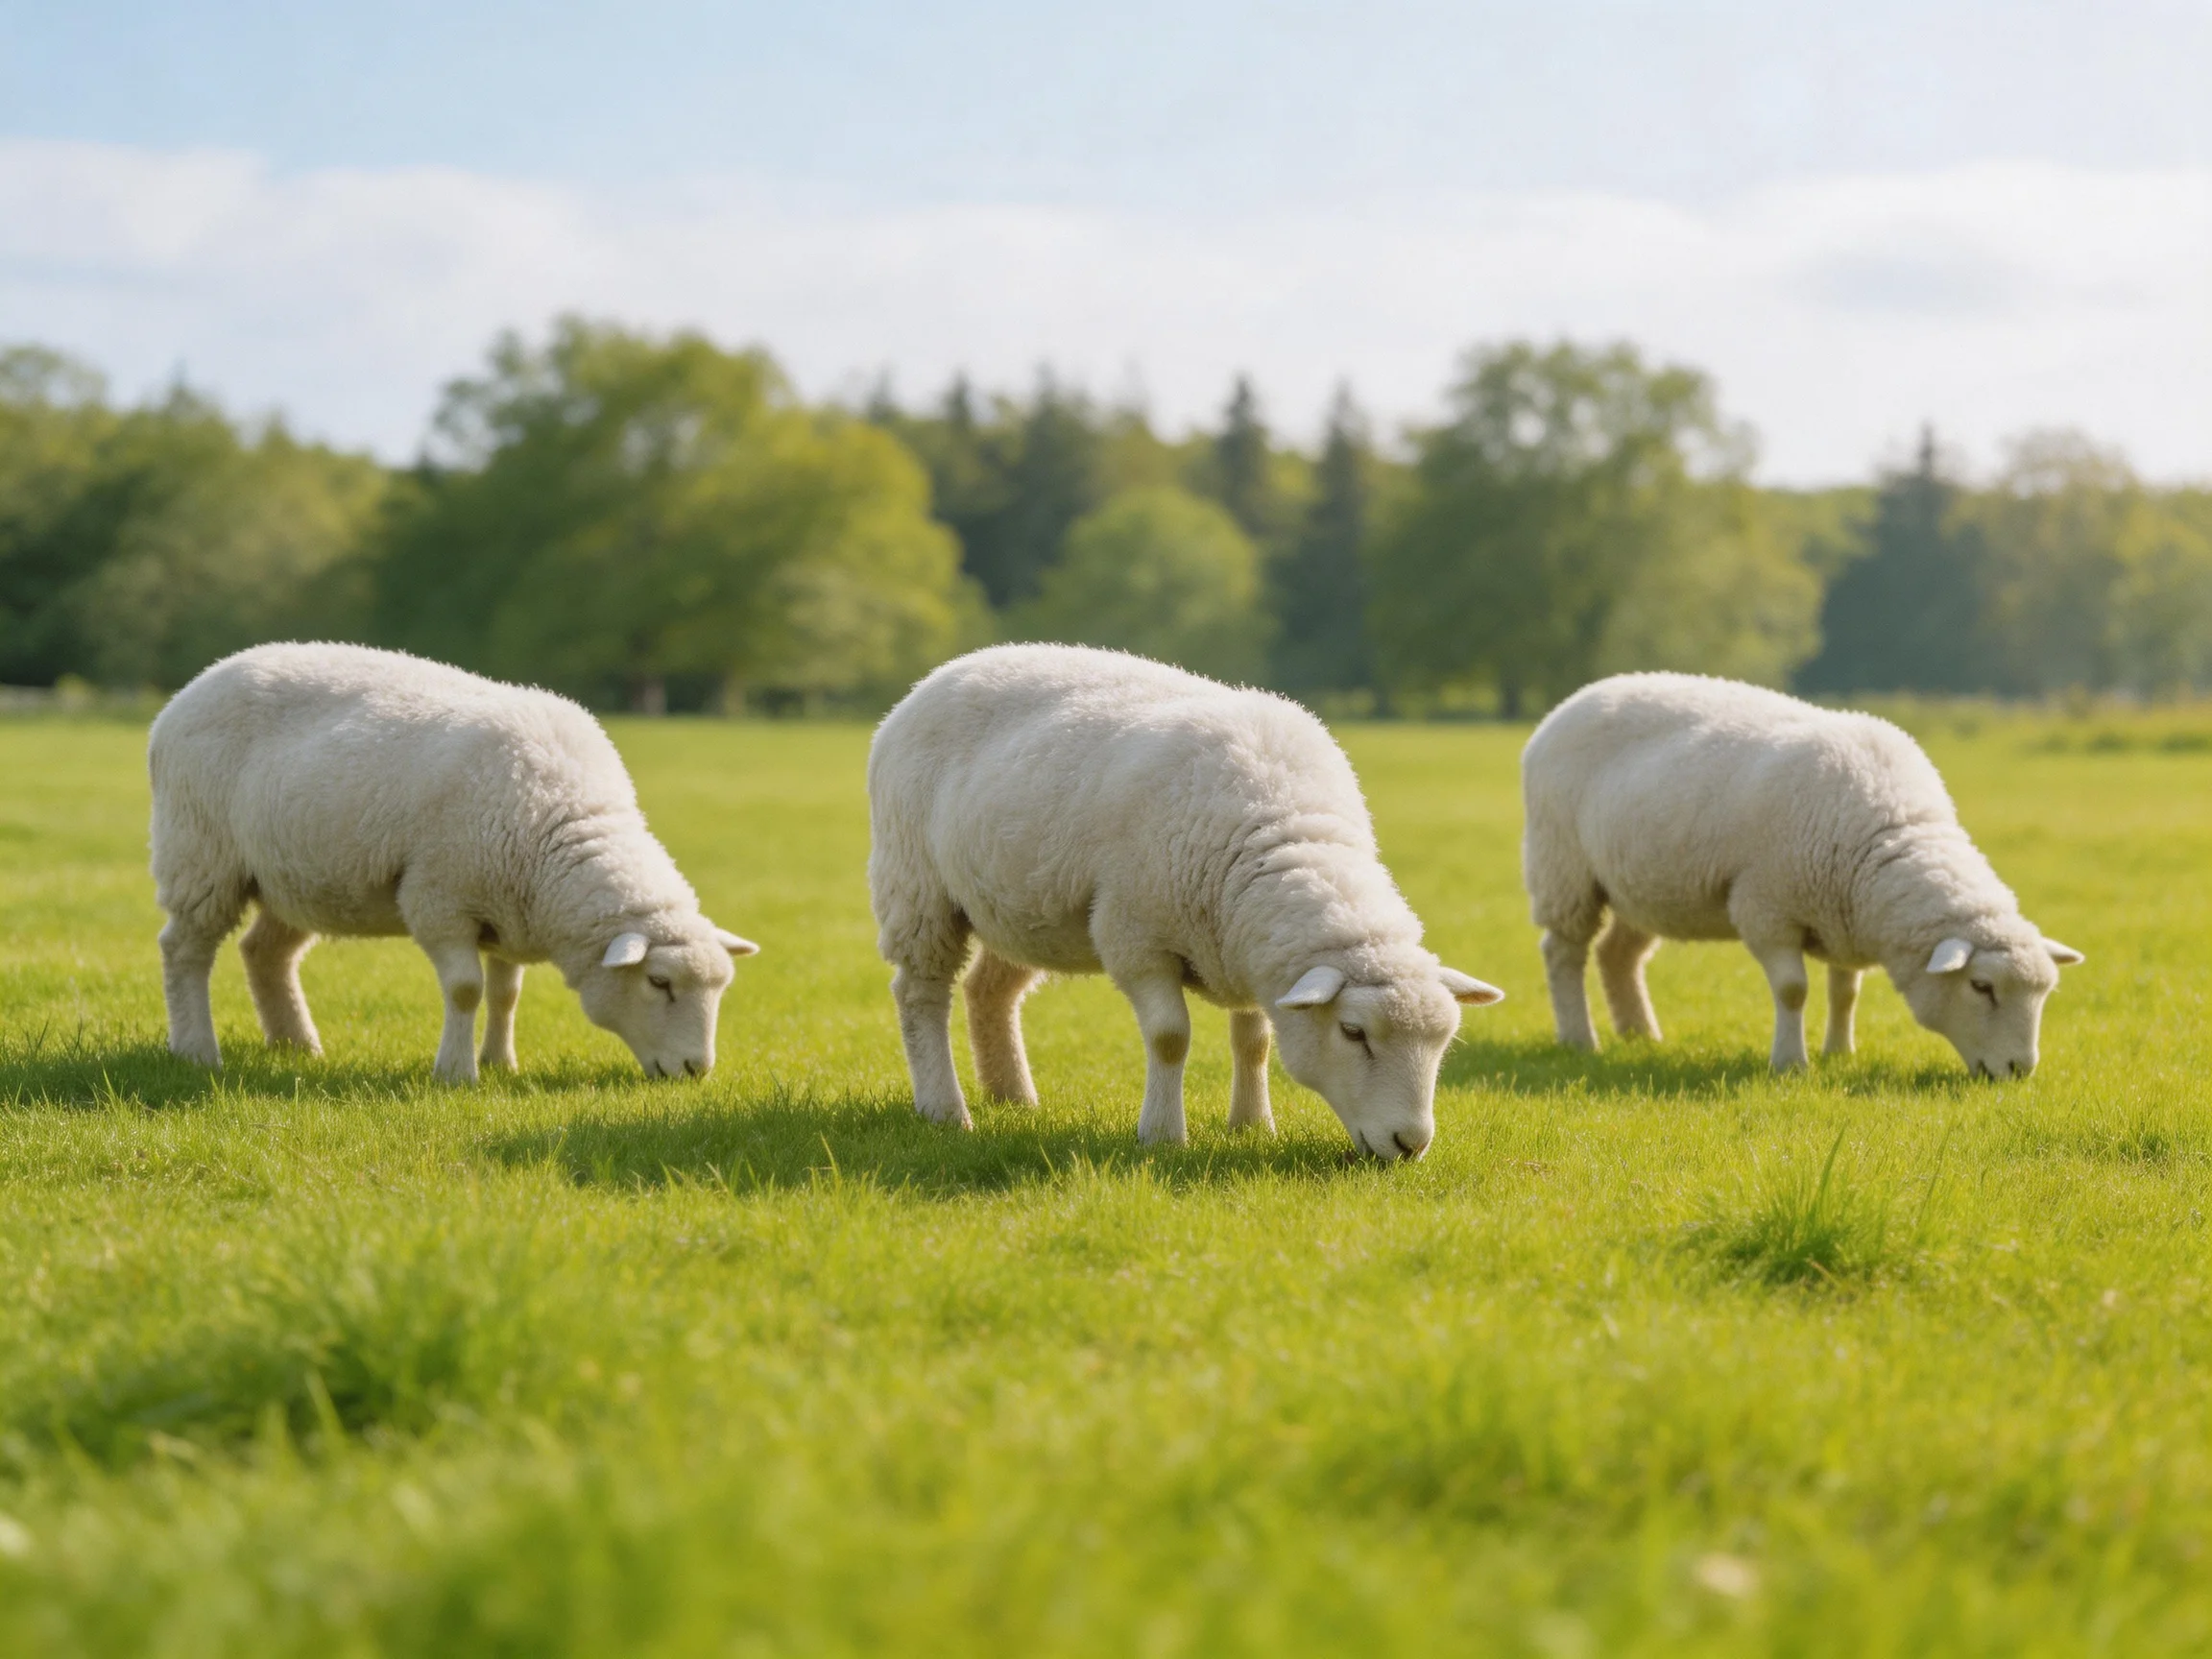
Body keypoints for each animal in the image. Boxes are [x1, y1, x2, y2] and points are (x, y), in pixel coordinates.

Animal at [148, 642, 758, 1081]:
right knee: (184, 951)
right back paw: (197, 1050)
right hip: (200, 854)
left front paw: (500, 1063)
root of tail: (191, 689)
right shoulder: (440, 899)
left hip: (295, 876)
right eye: (659, 982)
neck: (560, 829)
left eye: (720, 988)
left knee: (264, 953)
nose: (695, 1070)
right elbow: (467, 988)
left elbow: (506, 994)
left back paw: (297, 1046)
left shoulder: (511, 909)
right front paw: (457, 1073)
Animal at [868, 644, 1503, 1158]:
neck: (1284, 833)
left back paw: (1014, 1098)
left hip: (1020, 906)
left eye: (1443, 1042)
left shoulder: (1245, 945)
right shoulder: (1136, 936)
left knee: (988, 992)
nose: (1411, 1144)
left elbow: (1254, 1041)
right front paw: (1163, 1135)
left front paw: (1253, 1125)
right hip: (917, 887)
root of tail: (943, 672)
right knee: (921, 994)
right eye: (1353, 1032)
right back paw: (946, 1110)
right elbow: (1171, 1037)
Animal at [1521, 672, 2082, 1076]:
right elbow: (1794, 990)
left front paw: (1840, 1052)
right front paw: (1791, 1063)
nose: (2020, 1070)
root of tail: (1575, 699)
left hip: (1642, 885)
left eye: (2044, 994)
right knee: (1563, 953)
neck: (1889, 834)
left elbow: (1845, 992)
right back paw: (1580, 1040)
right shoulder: (1767, 909)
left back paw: (1641, 1036)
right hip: (1563, 868)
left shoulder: (1844, 916)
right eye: (1982, 987)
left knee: (1618, 955)